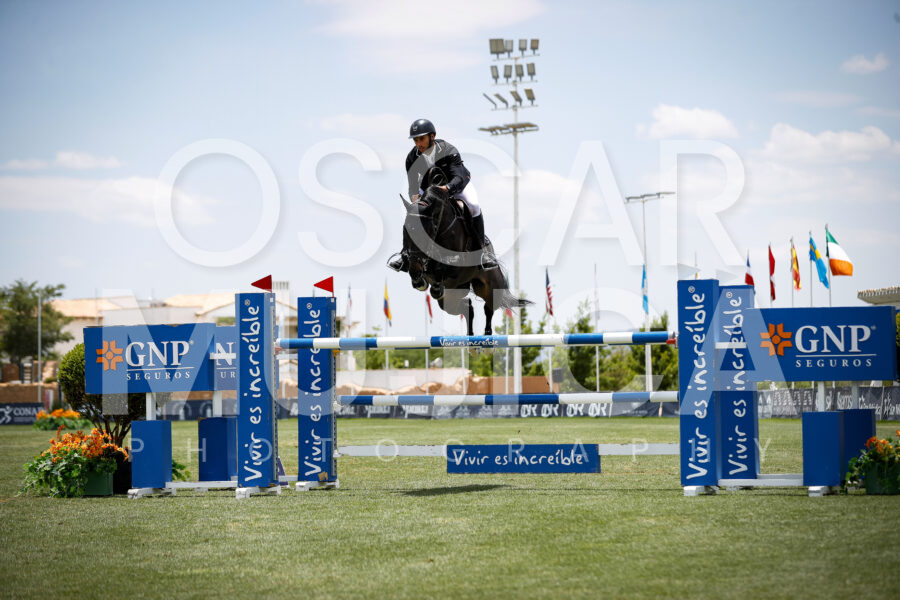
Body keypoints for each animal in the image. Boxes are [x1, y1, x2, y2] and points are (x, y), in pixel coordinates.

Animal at [399, 168, 532, 336]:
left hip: (489, 286)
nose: (415, 270)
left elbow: (442, 266)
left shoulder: (458, 262)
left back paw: (486, 335)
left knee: (488, 307)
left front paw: (434, 284)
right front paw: (419, 280)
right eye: (405, 231)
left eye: (425, 232)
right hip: (452, 296)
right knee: (467, 307)